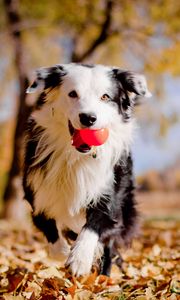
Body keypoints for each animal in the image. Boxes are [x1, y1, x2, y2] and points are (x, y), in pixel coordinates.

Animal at [23, 63, 151, 276]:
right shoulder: (37, 194)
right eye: (73, 94)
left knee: (108, 246)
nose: (88, 118)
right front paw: (64, 251)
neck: (77, 157)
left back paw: (104, 276)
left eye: (105, 97)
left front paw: (80, 259)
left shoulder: (109, 195)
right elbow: (51, 233)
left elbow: (93, 226)